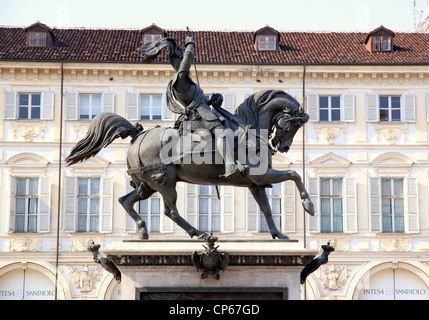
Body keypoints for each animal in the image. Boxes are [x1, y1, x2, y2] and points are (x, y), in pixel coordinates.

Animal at [67, 89, 314, 239]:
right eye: (295, 124)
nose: (284, 146)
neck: (249, 131)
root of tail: (138, 136)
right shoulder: (260, 175)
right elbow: (295, 174)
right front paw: (308, 205)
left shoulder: (255, 184)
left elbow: (267, 209)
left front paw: (278, 235)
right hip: (165, 182)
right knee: (170, 211)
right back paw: (198, 233)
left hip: (148, 185)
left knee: (125, 201)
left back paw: (144, 231)